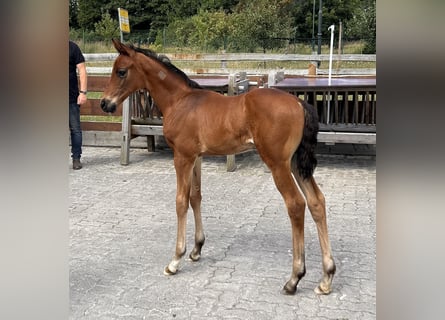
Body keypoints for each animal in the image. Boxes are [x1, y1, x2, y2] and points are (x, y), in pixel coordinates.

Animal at [100, 39, 334, 296]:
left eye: (121, 71)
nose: (104, 103)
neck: (180, 101)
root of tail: (299, 103)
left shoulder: (181, 157)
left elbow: (181, 202)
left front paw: (175, 260)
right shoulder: (196, 157)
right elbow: (195, 197)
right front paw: (196, 249)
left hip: (278, 164)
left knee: (296, 204)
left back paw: (294, 278)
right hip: (295, 163)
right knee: (316, 201)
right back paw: (326, 277)